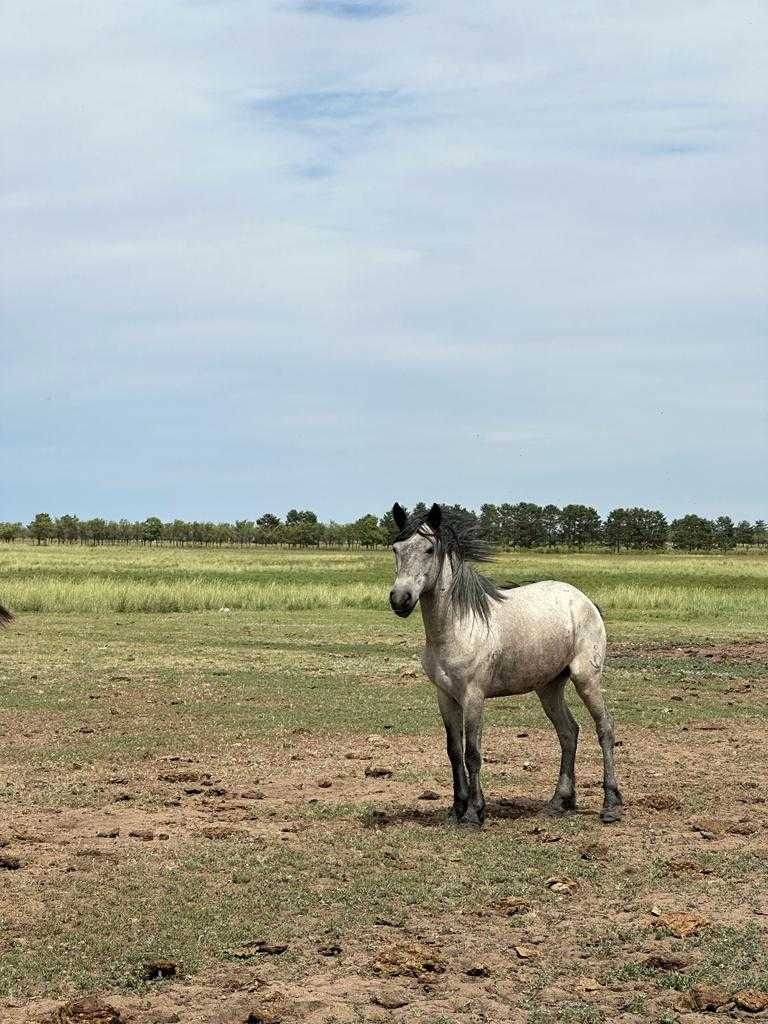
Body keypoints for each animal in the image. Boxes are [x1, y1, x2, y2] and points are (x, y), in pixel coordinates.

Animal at [391, 499, 626, 827]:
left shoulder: (473, 696)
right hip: (549, 687)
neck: (458, 625)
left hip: (586, 679)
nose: (400, 599)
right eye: (396, 549)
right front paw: (457, 809)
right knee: (569, 732)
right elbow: (454, 751)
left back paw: (610, 805)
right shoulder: (445, 696)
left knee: (604, 727)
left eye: (428, 549)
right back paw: (559, 802)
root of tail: (586, 602)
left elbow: (472, 753)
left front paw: (474, 813)